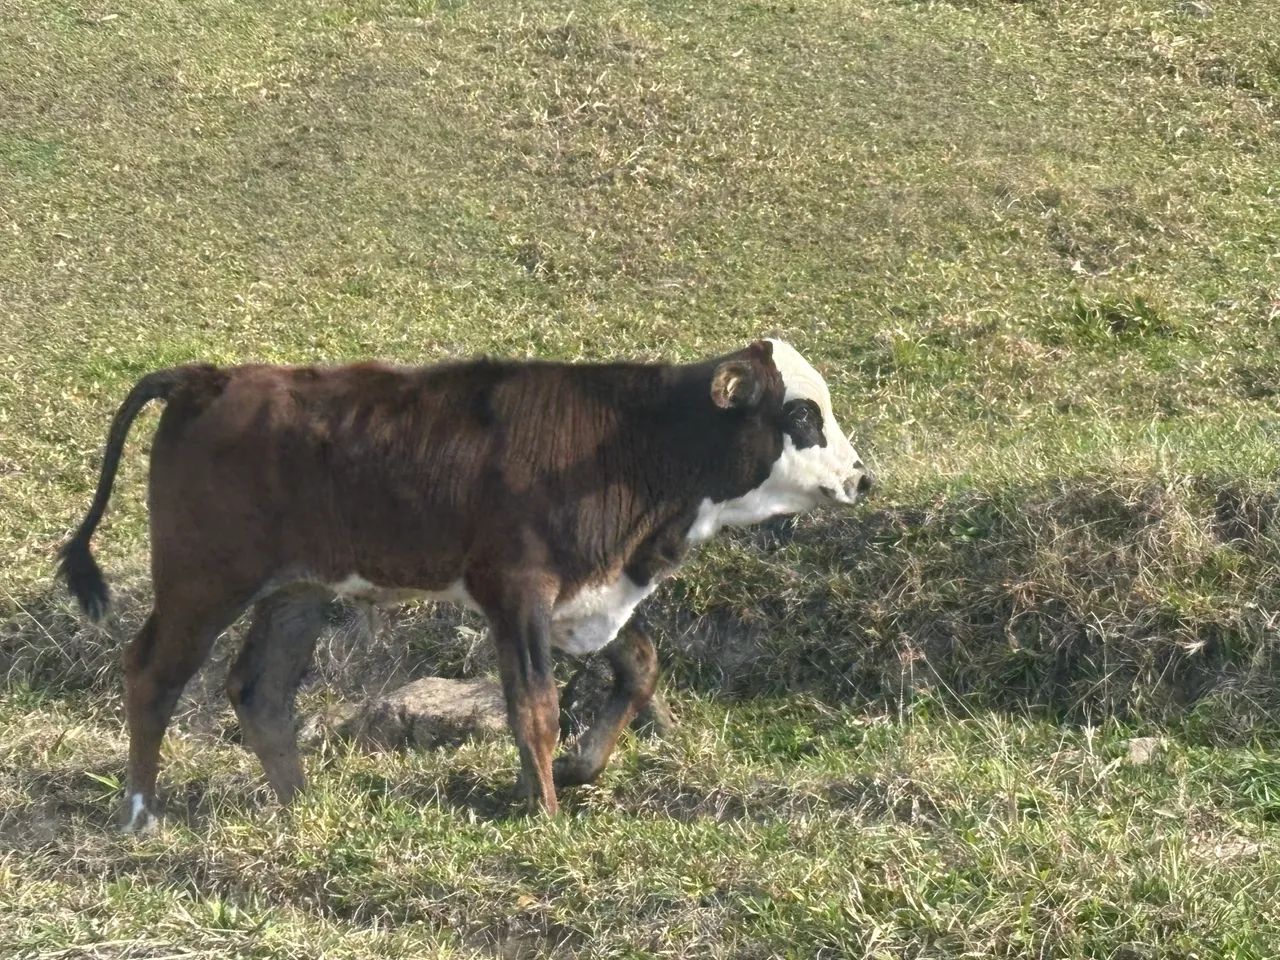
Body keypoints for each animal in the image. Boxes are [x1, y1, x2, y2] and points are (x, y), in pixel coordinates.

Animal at [58, 339, 872, 829]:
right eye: (802, 415)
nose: (862, 478)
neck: (631, 443)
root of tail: (208, 378)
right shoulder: (517, 590)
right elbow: (535, 707)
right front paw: (545, 811)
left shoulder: (588, 595)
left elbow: (639, 667)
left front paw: (577, 769)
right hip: (202, 581)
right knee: (152, 674)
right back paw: (140, 813)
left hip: (296, 592)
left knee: (261, 691)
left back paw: (302, 809)